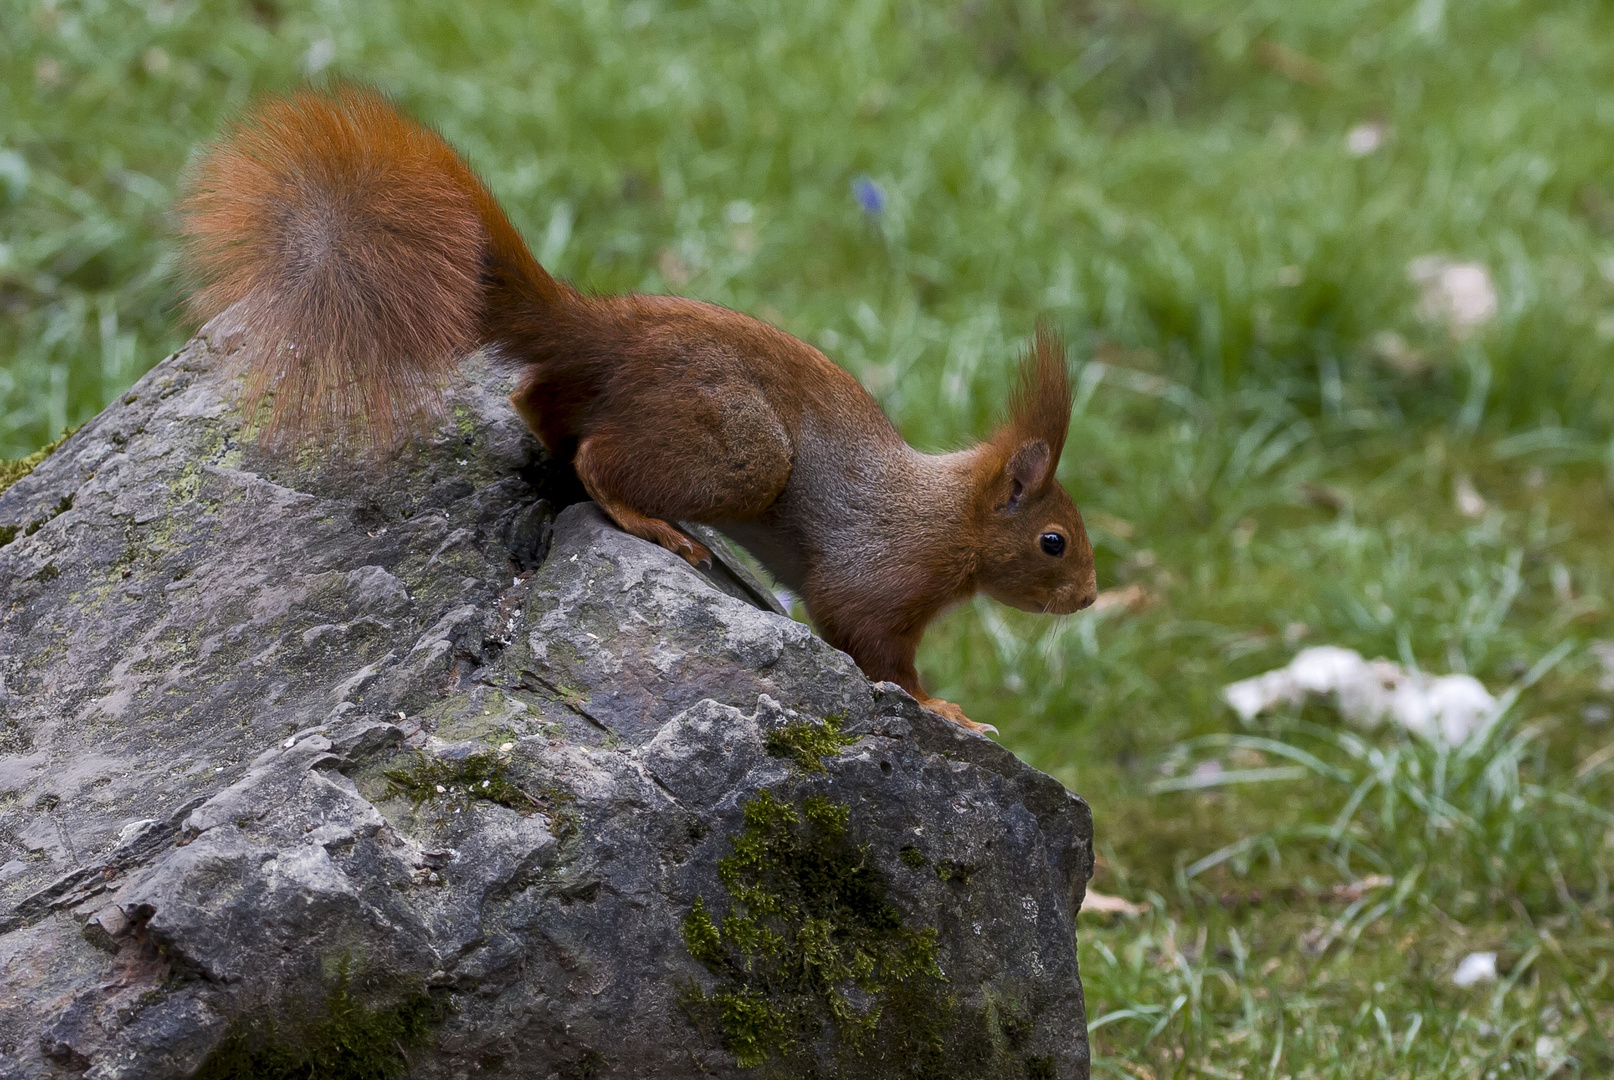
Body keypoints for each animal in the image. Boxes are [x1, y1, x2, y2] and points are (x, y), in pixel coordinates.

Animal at [183, 86, 1103, 732]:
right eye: (1054, 542)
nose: (1091, 599)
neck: (949, 516)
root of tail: (610, 334)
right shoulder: (880, 575)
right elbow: (872, 646)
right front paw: (944, 709)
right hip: (743, 451)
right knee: (600, 460)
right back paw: (653, 522)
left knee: (539, 403)